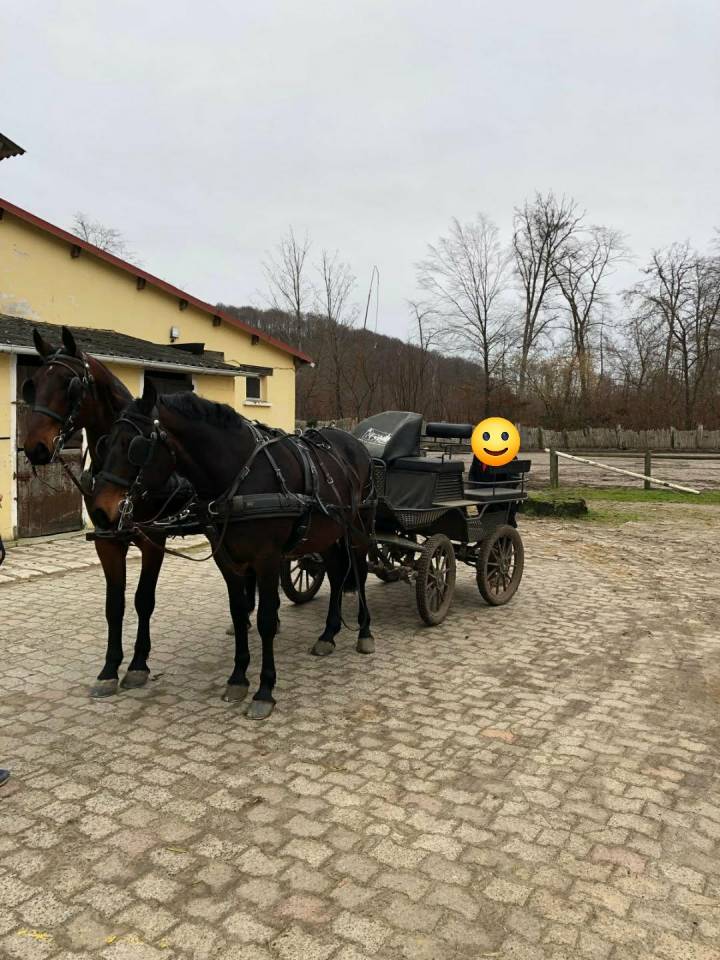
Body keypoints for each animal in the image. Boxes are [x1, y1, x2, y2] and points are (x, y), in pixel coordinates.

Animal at [22, 325, 255, 698]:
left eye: (69, 385)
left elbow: (143, 599)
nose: (35, 448)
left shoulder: (152, 538)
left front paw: (137, 665)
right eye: (33, 384)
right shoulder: (107, 539)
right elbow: (114, 604)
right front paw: (108, 669)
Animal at [88, 378, 376, 719]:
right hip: (327, 532)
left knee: (359, 569)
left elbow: (266, 619)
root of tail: (355, 442)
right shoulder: (228, 560)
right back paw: (328, 634)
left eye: (135, 447)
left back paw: (365, 632)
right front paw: (238, 678)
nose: (100, 511)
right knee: (335, 572)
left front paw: (265, 690)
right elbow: (239, 613)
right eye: (105, 443)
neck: (240, 477)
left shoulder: (267, 559)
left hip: (358, 525)